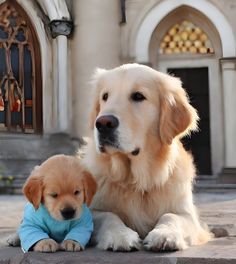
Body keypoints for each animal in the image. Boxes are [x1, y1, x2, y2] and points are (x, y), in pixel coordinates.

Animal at [82, 63, 211, 251]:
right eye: (105, 96)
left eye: (138, 96)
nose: (103, 123)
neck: (137, 181)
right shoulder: (91, 209)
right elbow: (108, 216)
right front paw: (120, 235)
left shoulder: (188, 215)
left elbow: (171, 216)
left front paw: (165, 234)